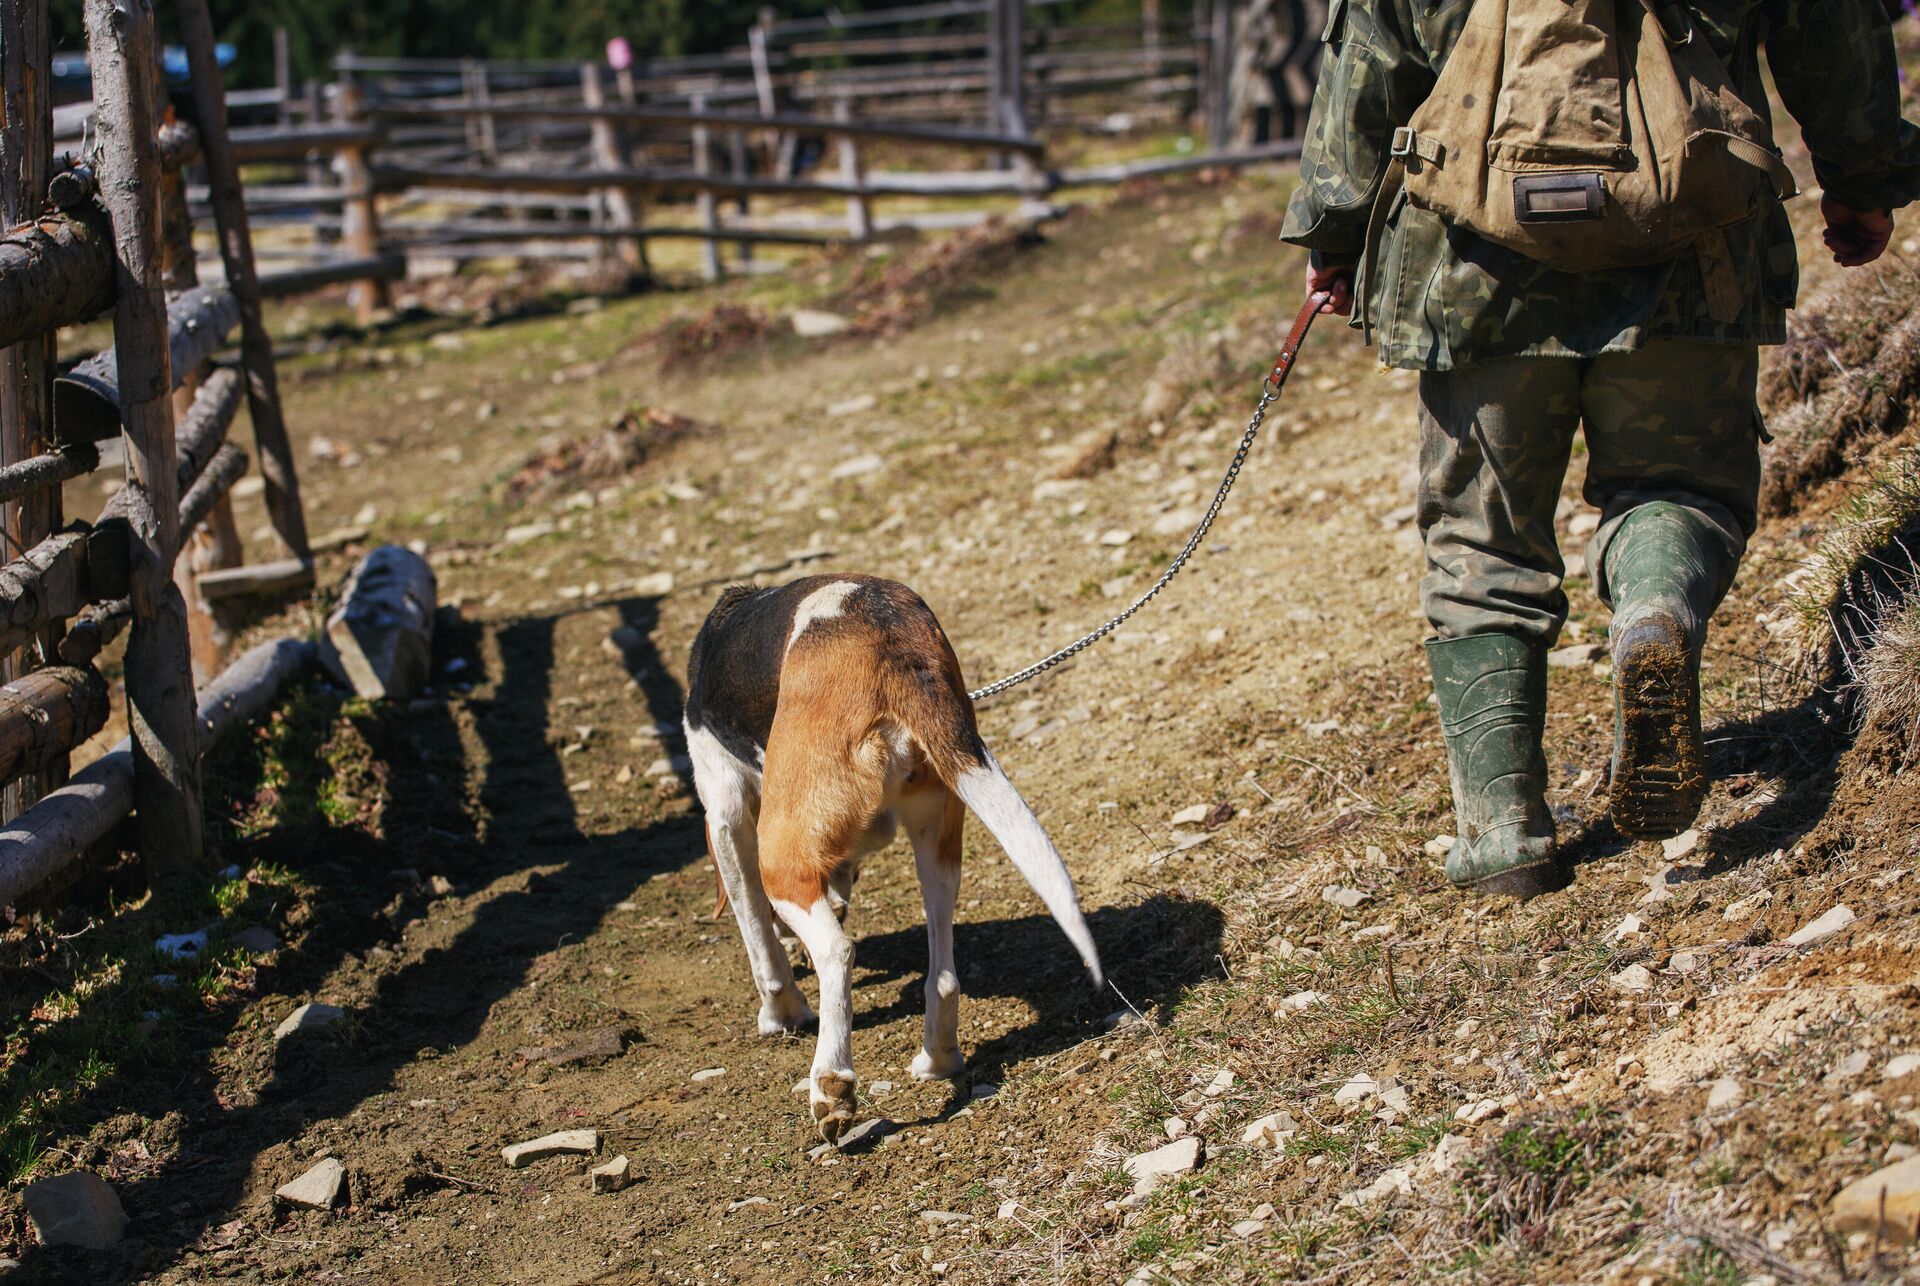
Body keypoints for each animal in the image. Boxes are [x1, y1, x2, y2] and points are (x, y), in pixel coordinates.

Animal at [687, 579, 1113, 1143]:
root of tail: (893, 640)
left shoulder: (725, 813)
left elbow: (758, 939)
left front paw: (780, 1013)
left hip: (780, 853)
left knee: (837, 951)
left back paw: (832, 1085)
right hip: (937, 836)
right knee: (944, 976)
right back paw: (938, 1059)